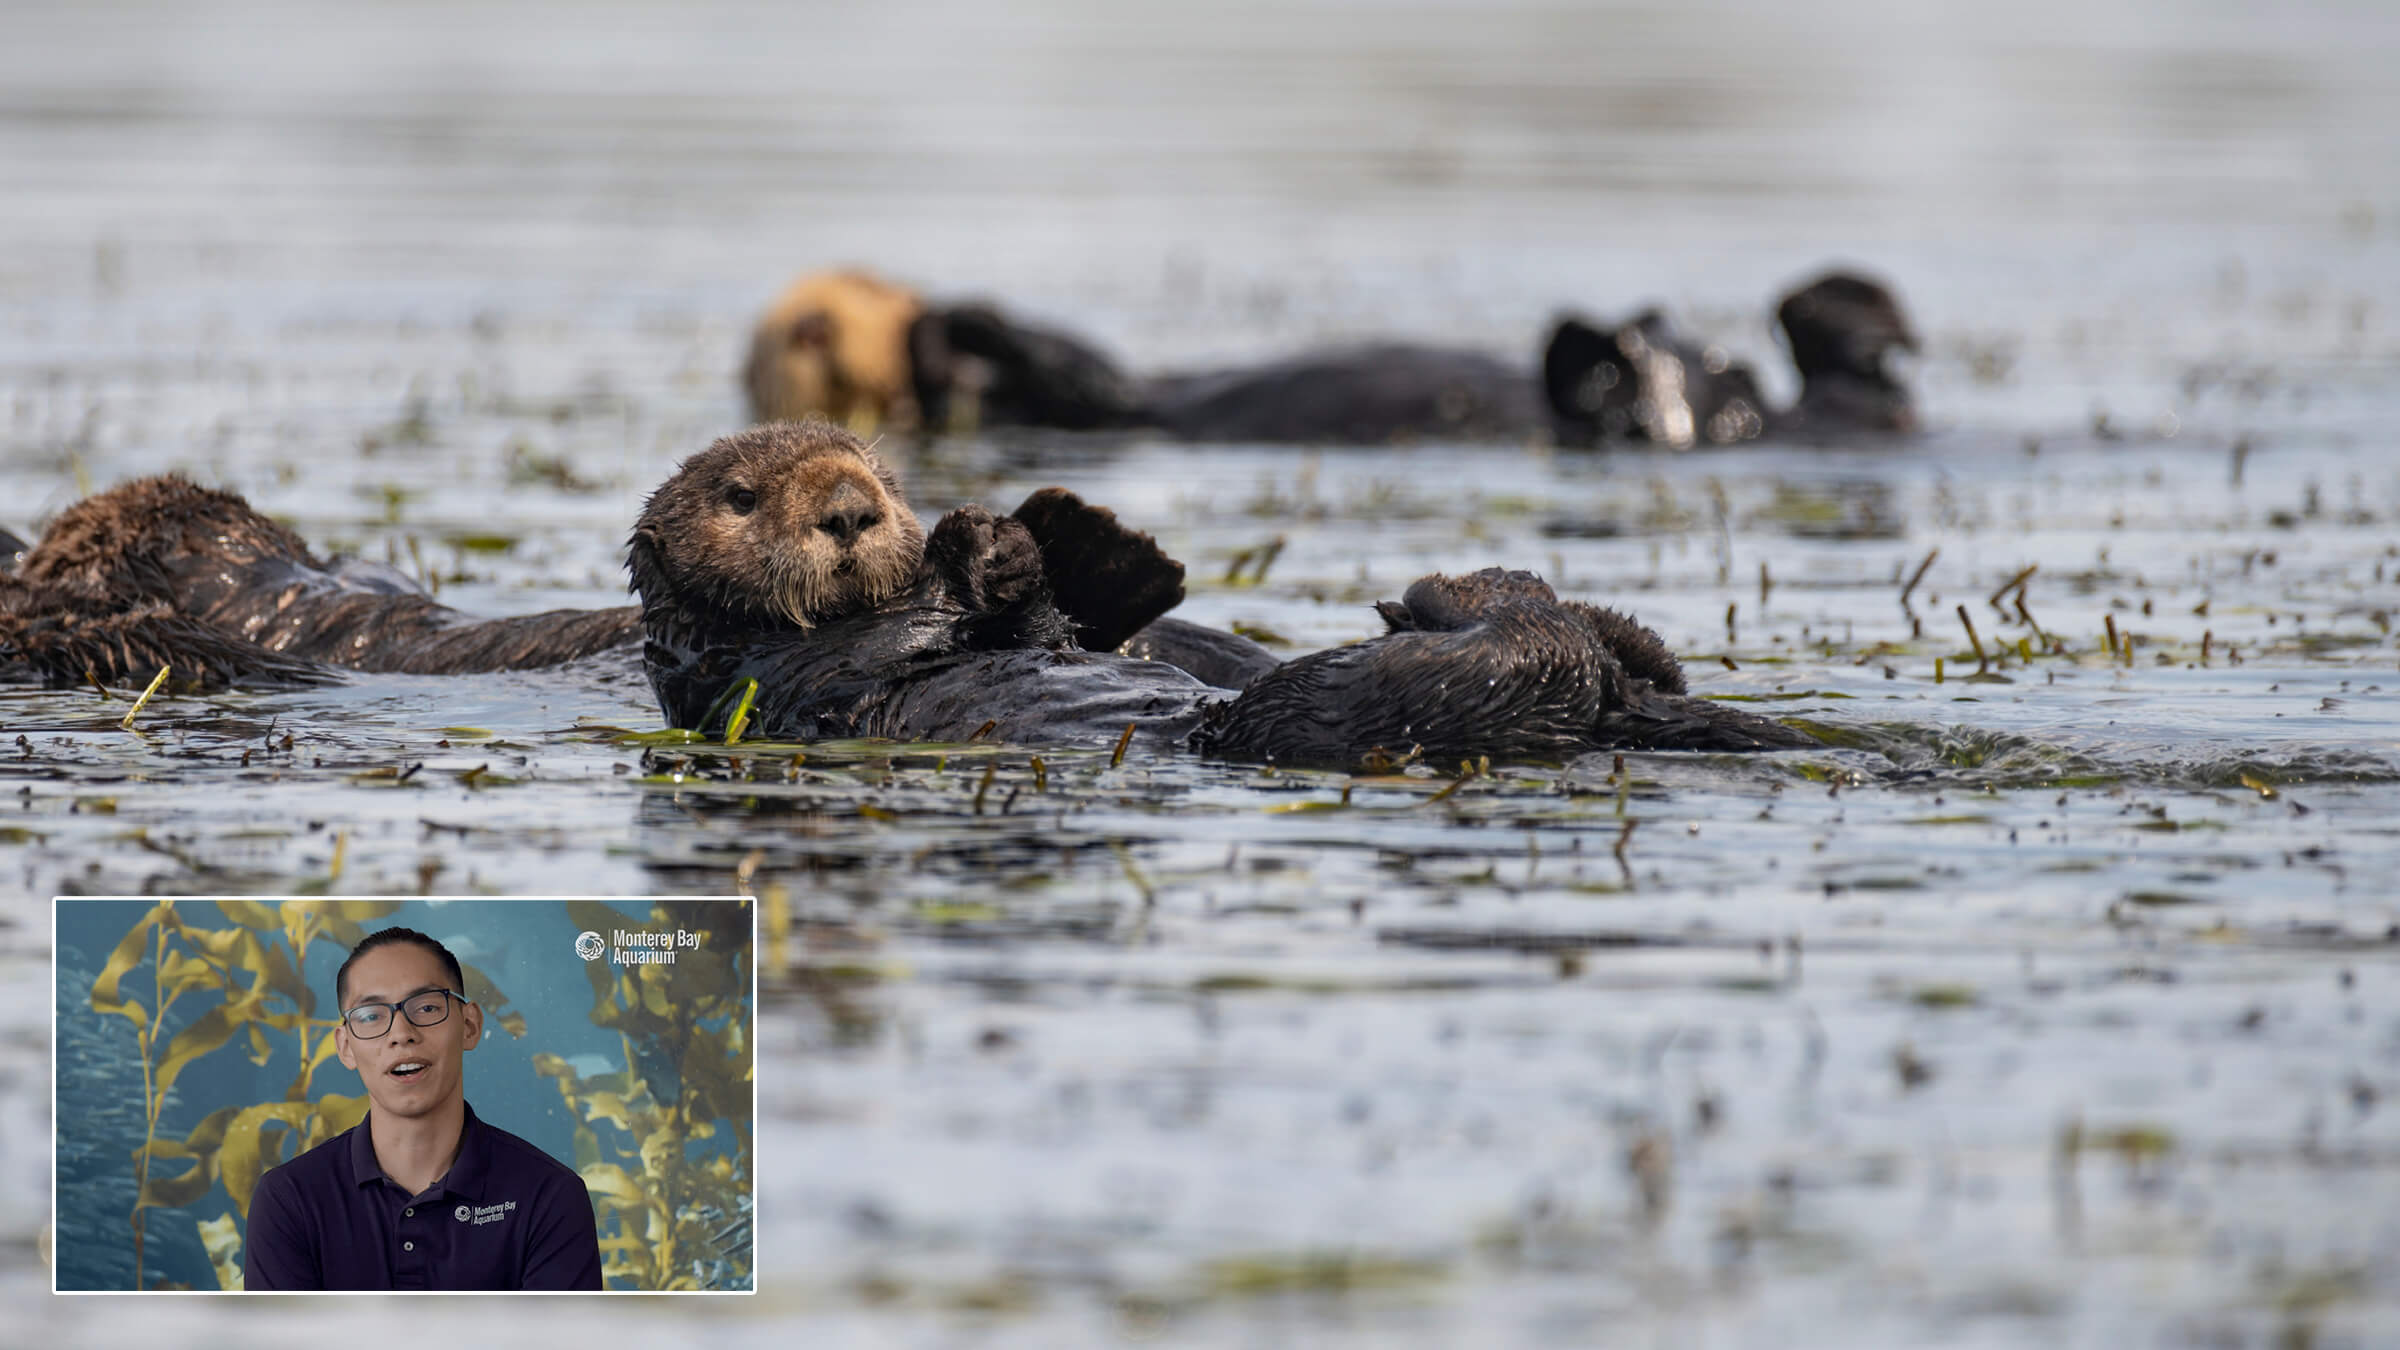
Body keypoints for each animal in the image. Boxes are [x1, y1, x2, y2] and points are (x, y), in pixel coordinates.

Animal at [629, 423, 1817, 768]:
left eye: (878, 471)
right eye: (741, 496)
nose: (848, 508)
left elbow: (1033, 623)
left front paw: (1007, 543)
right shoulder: (779, 671)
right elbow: (914, 638)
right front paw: (981, 553)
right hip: (1352, 710)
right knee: (1528, 640)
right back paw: (1431, 596)